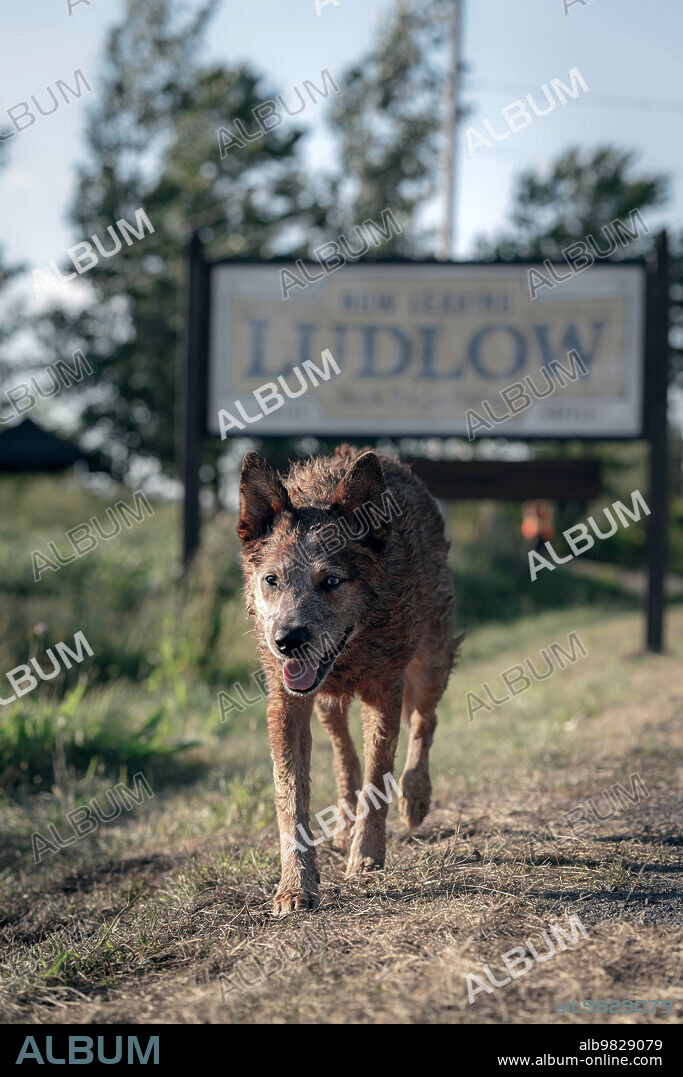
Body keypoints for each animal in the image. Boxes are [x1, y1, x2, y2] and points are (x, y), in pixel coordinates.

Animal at [237, 441, 454, 913]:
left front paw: (367, 856)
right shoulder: (286, 703)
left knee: (425, 720)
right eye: (271, 580)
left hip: (432, 661)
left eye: (332, 581)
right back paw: (342, 822)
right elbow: (291, 797)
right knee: (343, 753)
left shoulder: (385, 690)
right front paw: (295, 886)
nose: (287, 640)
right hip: (327, 703)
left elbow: (378, 778)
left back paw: (416, 794)